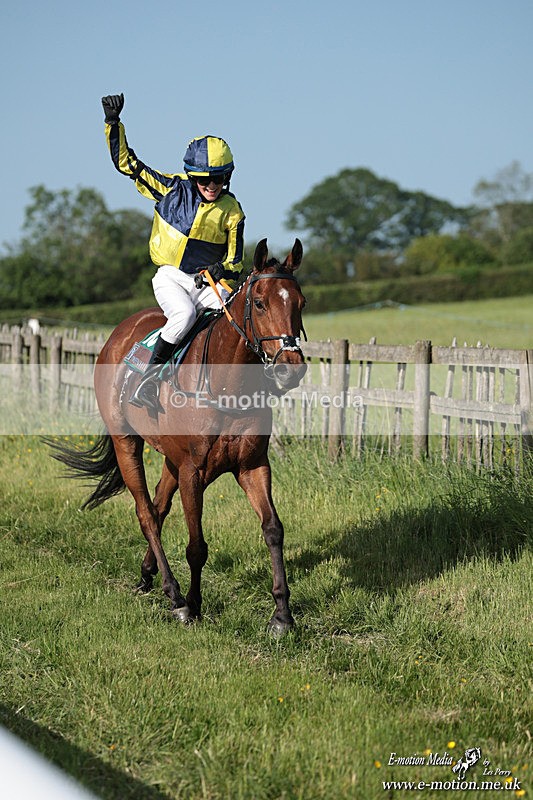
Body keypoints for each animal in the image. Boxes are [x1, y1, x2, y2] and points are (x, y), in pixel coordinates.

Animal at [48, 239, 307, 635]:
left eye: (300, 303)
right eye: (261, 302)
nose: (289, 369)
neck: (225, 386)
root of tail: (121, 330)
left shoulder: (252, 465)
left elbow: (273, 529)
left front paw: (281, 614)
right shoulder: (193, 472)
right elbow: (196, 545)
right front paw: (194, 604)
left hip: (171, 458)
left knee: (158, 506)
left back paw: (147, 574)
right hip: (127, 442)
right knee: (146, 513)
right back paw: (173, 594)